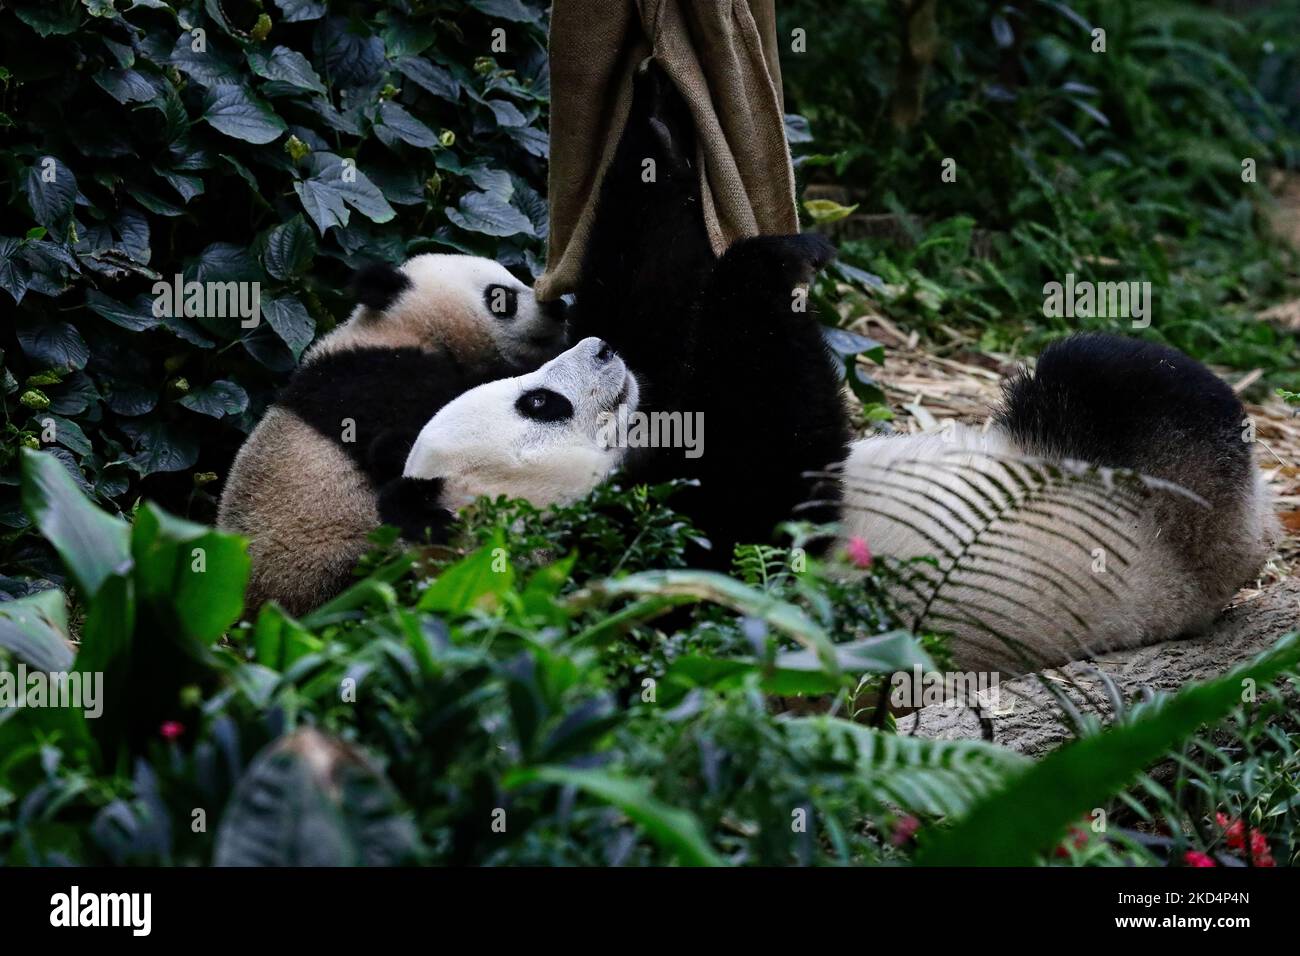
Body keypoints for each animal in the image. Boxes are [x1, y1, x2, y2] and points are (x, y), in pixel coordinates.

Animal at [218, 254, 569, 613]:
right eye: (501, 297)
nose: (558, 308)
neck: (401, 327)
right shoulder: (377, 380)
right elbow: (402, 447)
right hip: (327, 561)